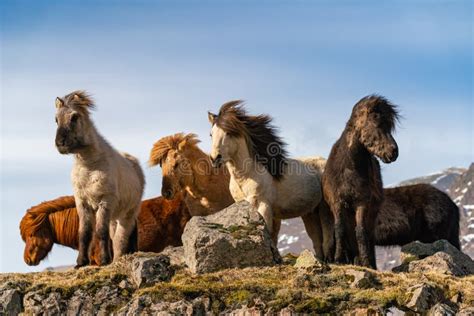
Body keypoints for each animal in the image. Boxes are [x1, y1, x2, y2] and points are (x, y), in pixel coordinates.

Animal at [55, 90, 144, 266]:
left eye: (74, 117)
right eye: (56, 119)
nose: (60, 143)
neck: (90, 166)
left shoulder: (105, 201)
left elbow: (101, 232)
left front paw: (103, 260)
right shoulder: (82, 202)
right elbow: (84, 232)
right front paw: (81, 262)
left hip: (128, 213)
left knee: (121, 238)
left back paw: (116, 259)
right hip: (115, 216)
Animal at [207, 101, 334, 260]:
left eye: (229, 133)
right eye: (211, 134)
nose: (214, 159)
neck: (247, 175)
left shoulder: (263, 206)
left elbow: (267, 233)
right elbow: (272, 236)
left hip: (324, 209)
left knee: (328, 235)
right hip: (310, 212)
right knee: (316, 239)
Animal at [322, 95, 400, 268]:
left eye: (389, 127)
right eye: (377, 123)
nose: (394, 152)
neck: (349, 168)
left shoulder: (362, 203)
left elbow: (361, 232)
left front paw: (366, 263)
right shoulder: (337, 202)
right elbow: (340, 229)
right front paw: (338, 259)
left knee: (368, 234)